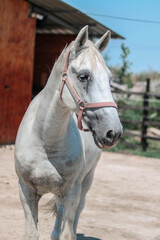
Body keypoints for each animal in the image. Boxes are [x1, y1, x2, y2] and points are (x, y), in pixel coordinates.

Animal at [15, 26, 122, 240]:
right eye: (83, 76)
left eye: (110, 79)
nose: (113, 132)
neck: (46, 141)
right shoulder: (26, 191)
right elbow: (31, 232)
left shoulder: (72, 191)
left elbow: (67, 232)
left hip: (85, 183)